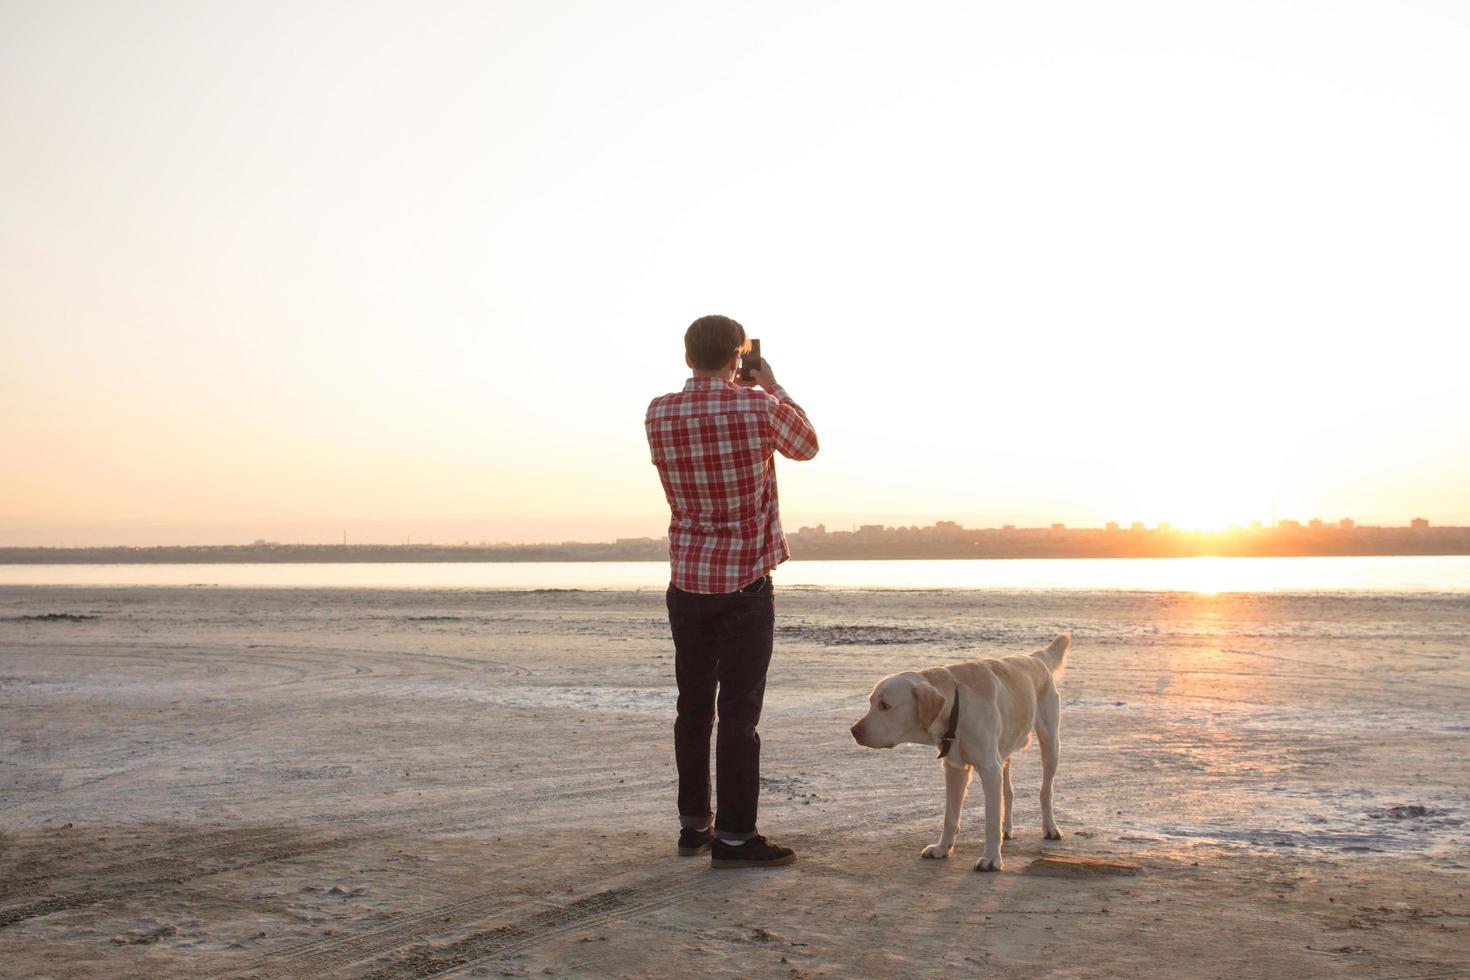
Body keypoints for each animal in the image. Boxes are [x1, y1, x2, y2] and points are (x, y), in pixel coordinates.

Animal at [852, 637, 1070, 875]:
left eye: (885, 705)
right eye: (871, 702)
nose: (854, 730)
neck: (957, 707)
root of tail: (1034, 657)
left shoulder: (989, 768)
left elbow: (990, 820)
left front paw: (991, 859)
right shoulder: (955, 768)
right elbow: (950, 816)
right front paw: (942, 848)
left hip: (1050, 743)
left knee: (1045, 790)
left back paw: (1050, 827)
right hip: (1004, 750)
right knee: (1008, 792)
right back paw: (1007, 828)